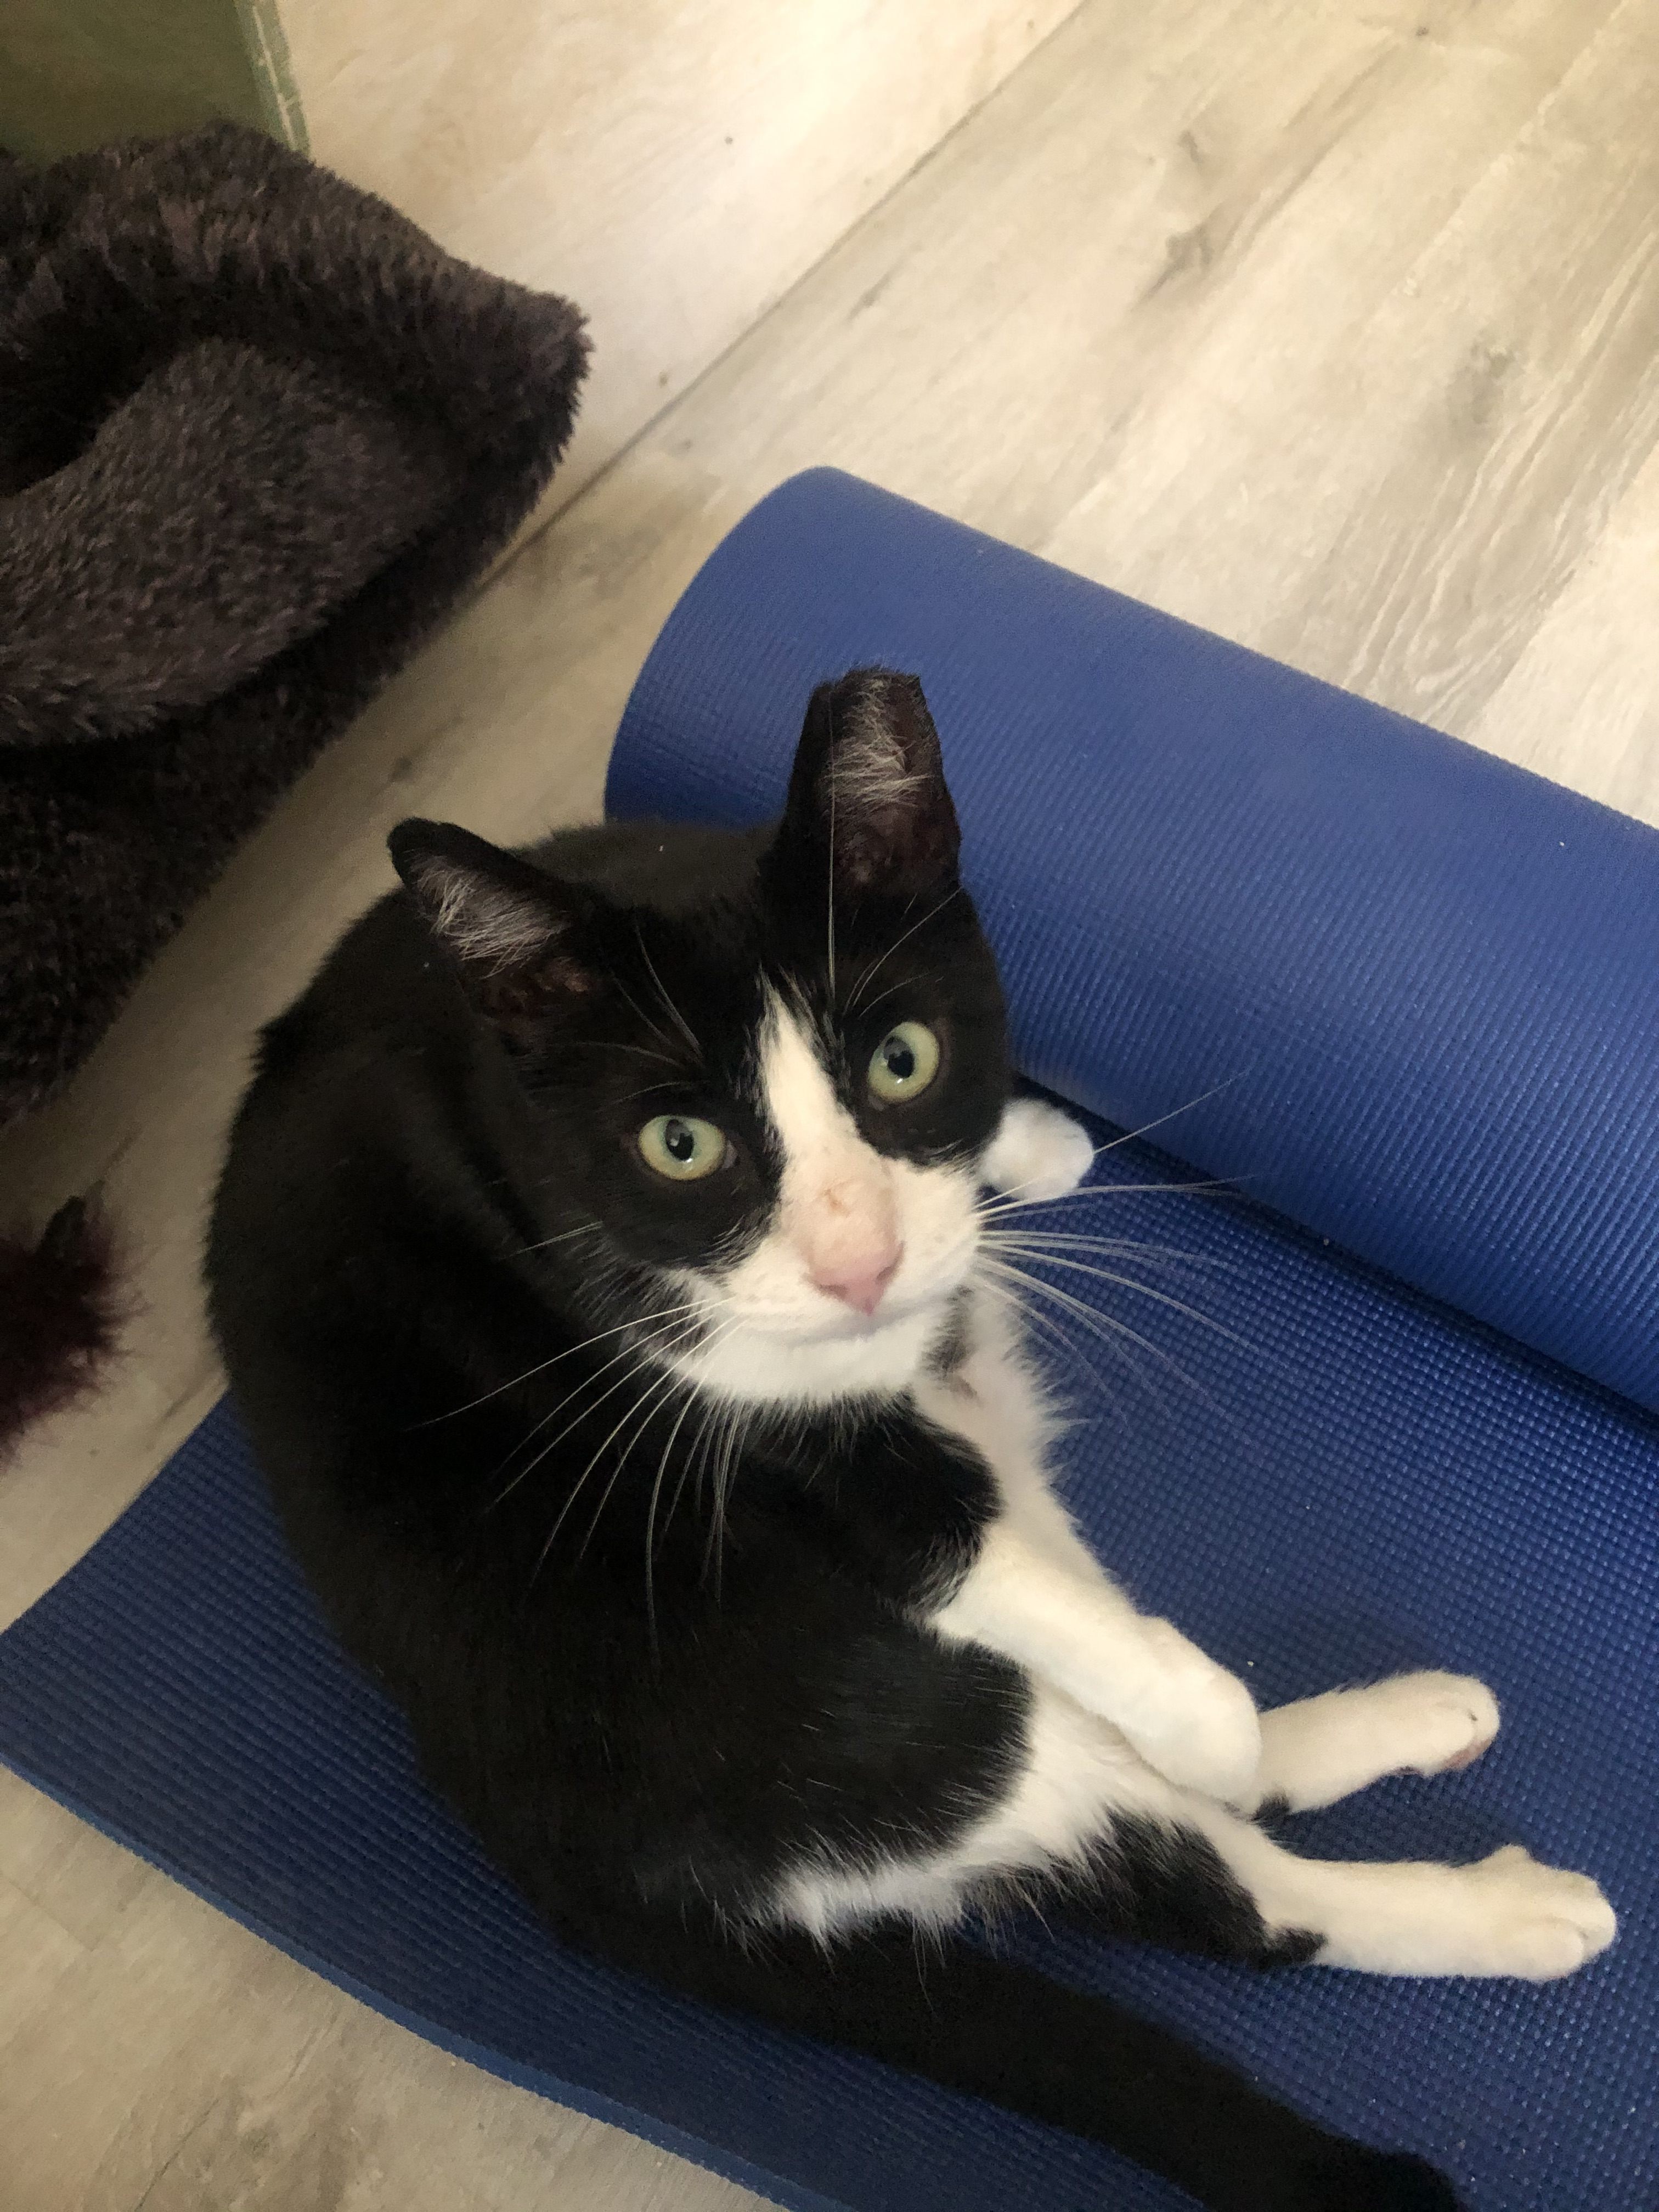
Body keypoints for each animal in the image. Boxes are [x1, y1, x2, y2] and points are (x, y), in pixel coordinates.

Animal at [204, 668, 1610, 2212]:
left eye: (902, 1060)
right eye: (679, 1147)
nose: (861, 1265)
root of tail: (560, 1867)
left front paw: (1028, 1145)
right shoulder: (690, 1391)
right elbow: (960, 1556)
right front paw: (1211, 1730)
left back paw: (1398, 1725)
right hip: (843, 1713)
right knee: (1217, 1884)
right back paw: (1483, 1889)